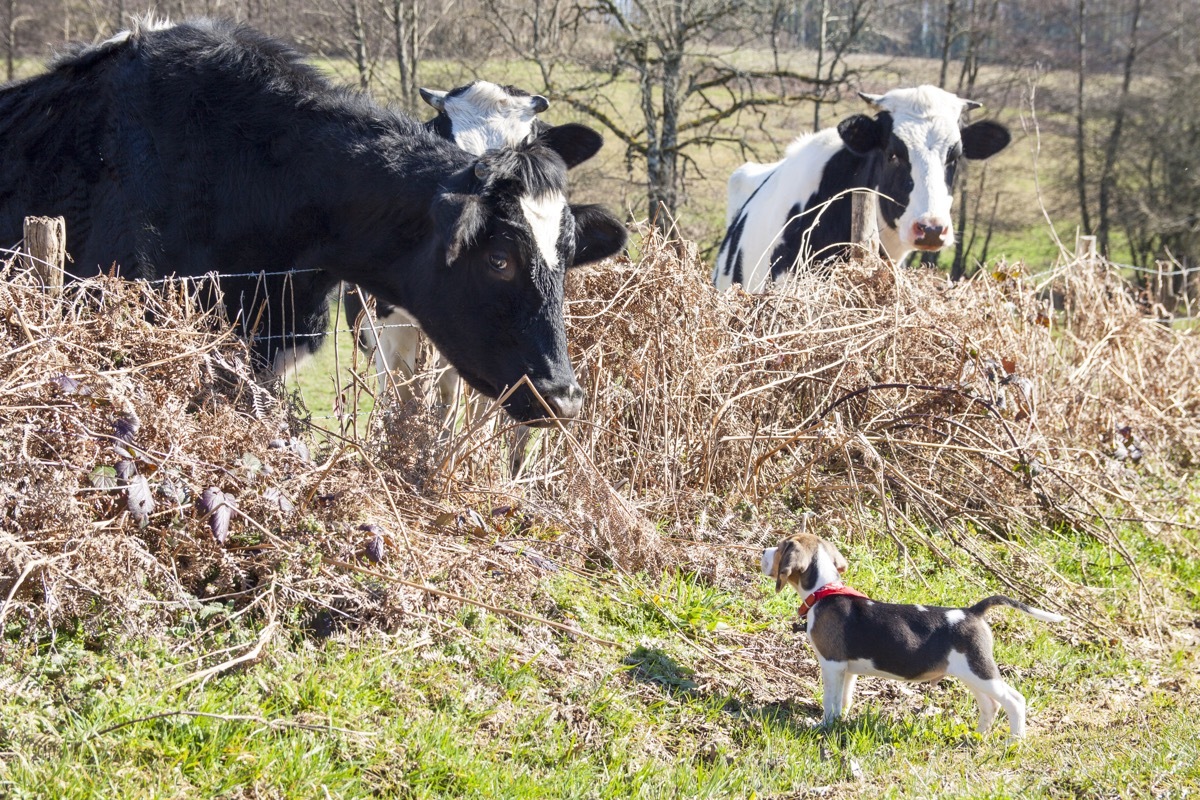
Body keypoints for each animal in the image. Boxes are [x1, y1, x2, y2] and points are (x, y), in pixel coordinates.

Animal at [763, 534, 1065, 743]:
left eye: (780, 546)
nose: (762, 552)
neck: (825, 590)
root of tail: (973, 611)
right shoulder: (847, 670)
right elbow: (843, 701)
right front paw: (838, 723)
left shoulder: (832, 664)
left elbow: (830, 700)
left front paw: (824, 726)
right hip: (971, 673)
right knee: (990, 705)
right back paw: (977, 736)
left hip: (980, 671)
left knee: (1015, 701)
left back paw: (1013, 742)